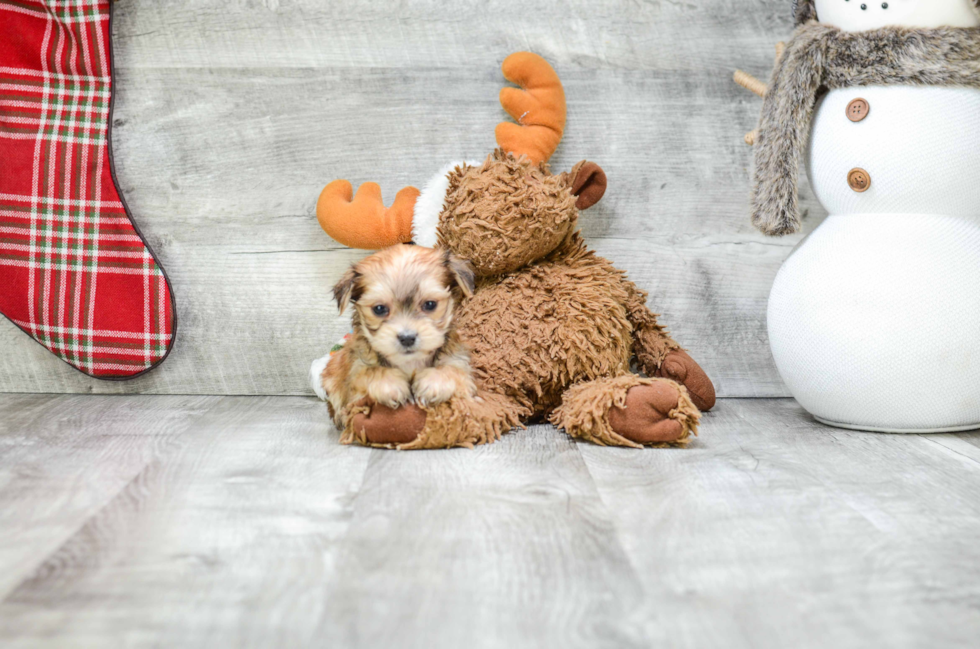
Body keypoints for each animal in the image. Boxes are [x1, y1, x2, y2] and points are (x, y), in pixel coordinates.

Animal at [310, 243, 478, 426]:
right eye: (379, 309)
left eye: (430, 304)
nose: (407, 338)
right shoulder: (357, 369)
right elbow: (368, 373)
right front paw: (390, 384)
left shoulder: (457, 360)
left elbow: (454, 371)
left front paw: (434, 382)